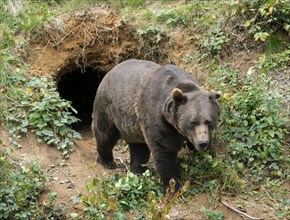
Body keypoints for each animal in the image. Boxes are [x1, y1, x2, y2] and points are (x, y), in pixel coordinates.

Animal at [92, 58, 221, 191]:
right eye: (193, 122)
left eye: (209, 121)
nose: (202, 143)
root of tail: (110, 71)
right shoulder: (159, 120)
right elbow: (164, 152)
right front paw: (173, 187)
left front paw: (205, 158)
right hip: (107, 107)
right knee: (105, 135)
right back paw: (107, 161)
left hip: (132, 124)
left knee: (138, 147)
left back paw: (137, 170)